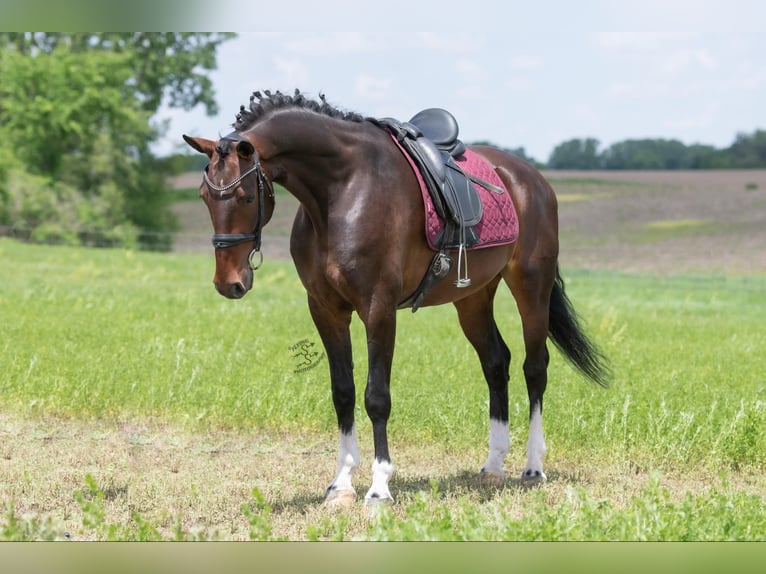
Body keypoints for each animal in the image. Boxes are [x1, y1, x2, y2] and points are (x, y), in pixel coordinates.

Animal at [183, 89, 610, 505]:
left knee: (534, 367)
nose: (229, 282)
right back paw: (493, 466)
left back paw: (533, 466)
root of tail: (528, 176)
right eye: (204, 196)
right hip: (473, 297)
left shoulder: (379, 308)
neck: (342, 191)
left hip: (531, 286)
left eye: (244, 197)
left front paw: (379, 488)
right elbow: (342, 393)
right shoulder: (325, 309)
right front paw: (341, 485)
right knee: (495, 362)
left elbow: (376, 397)